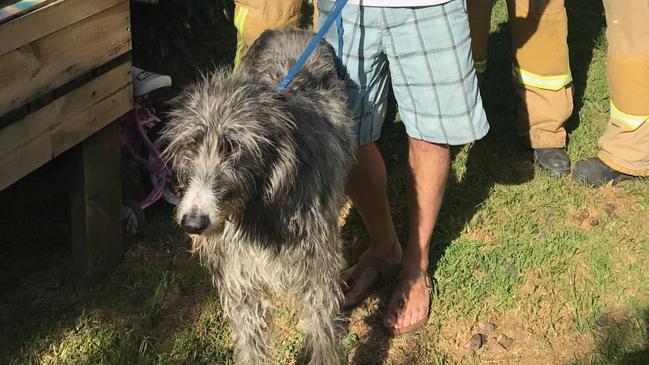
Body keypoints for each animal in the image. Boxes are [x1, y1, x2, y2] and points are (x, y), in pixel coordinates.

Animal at [162, 29, 354, 364]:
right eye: (191, 145)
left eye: (233, 146)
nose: (193, 223)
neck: (258, 208)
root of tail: (294, 31)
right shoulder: (241, 282)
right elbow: (251, 340)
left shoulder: (317, 271)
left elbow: (323, 331)